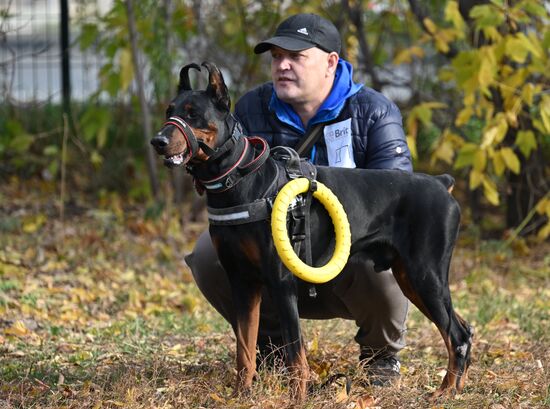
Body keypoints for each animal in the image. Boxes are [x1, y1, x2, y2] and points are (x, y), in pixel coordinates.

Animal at [150, 62, 474, 400]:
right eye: (169, 111)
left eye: (193, 114)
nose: (157, 141)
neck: (240, 180)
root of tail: (441, 183)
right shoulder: (241, 280)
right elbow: (245, 347)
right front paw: (241, 393)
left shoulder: (281, 282)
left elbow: (295, 353)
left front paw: (297, 398)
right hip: (410, 277)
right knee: (463, 330)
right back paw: (456, 386)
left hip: (425, 274)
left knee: (457, 335)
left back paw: (445, 391)